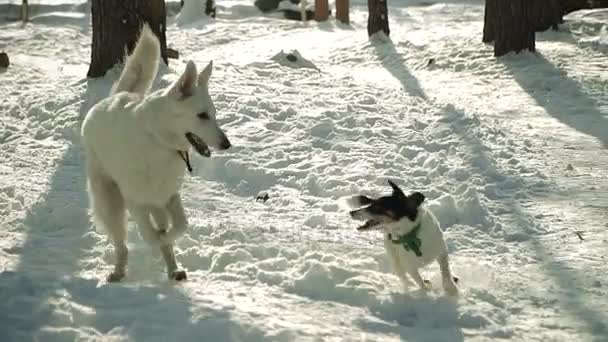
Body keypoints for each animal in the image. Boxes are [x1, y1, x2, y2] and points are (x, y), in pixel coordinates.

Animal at [81, 23, 230, 280]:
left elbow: (180, 226)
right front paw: (158, 240)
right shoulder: (135, 200)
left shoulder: (168, 196)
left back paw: (173, 269)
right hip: (110, 201)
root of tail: (116, 95)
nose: (226, 144)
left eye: (213, 115)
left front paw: (167, 240)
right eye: (202, 116)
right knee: (121, 243)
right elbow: (150, 235)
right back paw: (118, 271)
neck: (158, 141)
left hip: (154, 202)